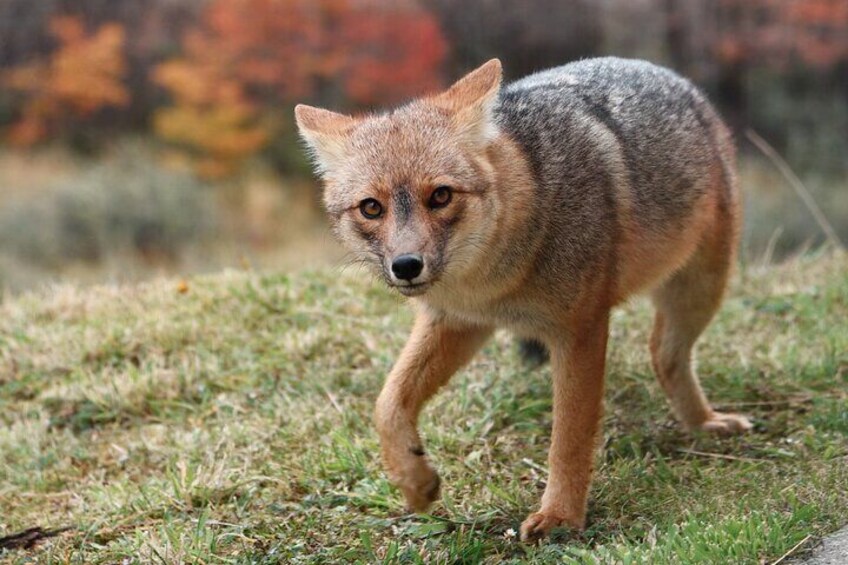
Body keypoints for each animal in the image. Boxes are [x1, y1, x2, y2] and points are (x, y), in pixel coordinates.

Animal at [294, 57, 753, 542]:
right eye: (371, 208)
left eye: (440, 196)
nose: (406, 265)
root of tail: (665, 73)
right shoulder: (458, 322)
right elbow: (387, 402)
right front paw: (413, 481)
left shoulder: (580, 331)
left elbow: (568, 437)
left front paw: (561, 518)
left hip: (702, 288)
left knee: (664, 353)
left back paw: (704, 423)